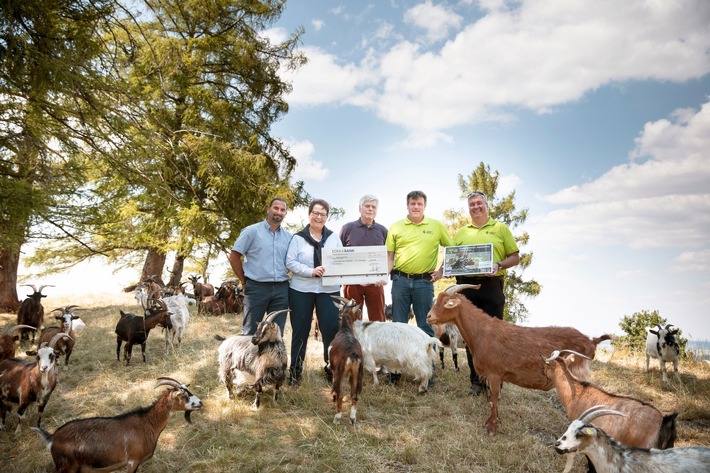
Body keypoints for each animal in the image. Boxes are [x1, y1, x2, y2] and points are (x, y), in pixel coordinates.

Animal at [33, 376, 203, 472]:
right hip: (66, 466)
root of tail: (52, 438)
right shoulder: (132, 461)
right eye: (183, 395)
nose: (200, 402)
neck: (147, 423)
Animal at [426, 284, 616, 436]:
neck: (481, 332)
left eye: (446, 302)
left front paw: (492, 429)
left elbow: (493, 400)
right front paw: (489, 423)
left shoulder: (494, 374)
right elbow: (491, 400)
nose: (428, 316)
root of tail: (591, 341)